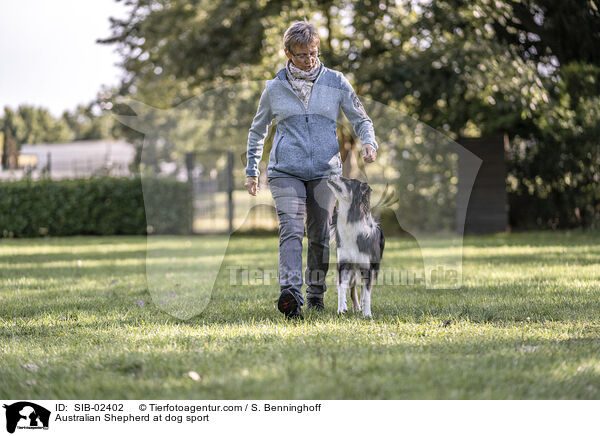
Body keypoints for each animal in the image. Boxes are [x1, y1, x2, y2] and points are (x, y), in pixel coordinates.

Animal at [326, 176, 386, 316]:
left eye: (347, 181)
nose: (331, 174)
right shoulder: (344, 263)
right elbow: (341, 287)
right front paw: (341, 308)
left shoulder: (367, 267)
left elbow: (367, 292)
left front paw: (367, 313)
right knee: (352, 288)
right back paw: (356, 307)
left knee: (364, 288)